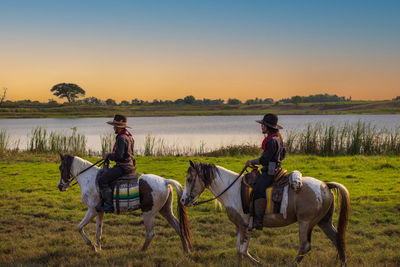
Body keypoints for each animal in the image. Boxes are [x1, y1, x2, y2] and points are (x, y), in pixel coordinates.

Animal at [57, 155, 193, 253]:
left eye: (60, 167)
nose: (60, 186)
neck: (88, 178)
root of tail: (165, 181)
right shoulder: (100, 212)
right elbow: (98, 231)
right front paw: (98, 249)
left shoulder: (92, 210)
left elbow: (79, 227)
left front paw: (92, 246)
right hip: (165, 210)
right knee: (178, 227)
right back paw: (186, 250)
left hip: (149, 213)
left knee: (150, 233)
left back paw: (141, 251)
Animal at [180, 162, 348, 266]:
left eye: (189, 179)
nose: (182, 200)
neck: (232, 190)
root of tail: (325, 185)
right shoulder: (239, 226)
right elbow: (239, 251)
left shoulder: (246, 226)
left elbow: (242, 250)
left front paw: (260, 263)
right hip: (324, 221)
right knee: (337, 240)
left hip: (305, 222)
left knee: (304, 246)